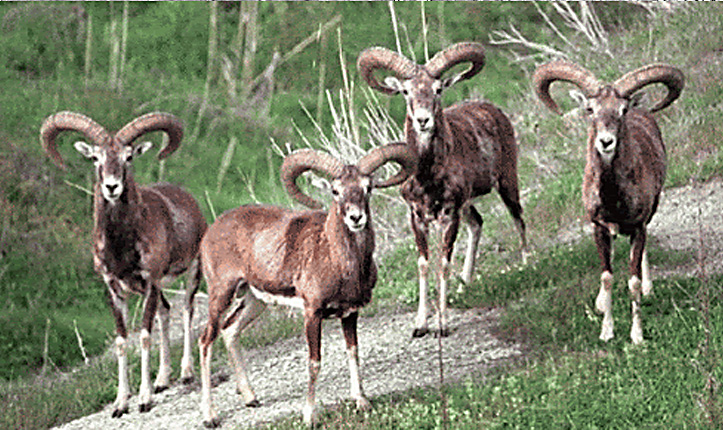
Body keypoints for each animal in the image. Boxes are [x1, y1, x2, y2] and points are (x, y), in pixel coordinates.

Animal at [40, 111, 207, 416]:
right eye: (96, 158)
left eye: (128, 157)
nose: (111, 187)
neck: (122, 248)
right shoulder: (115, 289)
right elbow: (121, 341)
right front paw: (120, 404)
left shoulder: (150, 282)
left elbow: (144, 336)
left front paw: (144, 400)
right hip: (159, 290)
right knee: (166, 312)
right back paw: (163, 380)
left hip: (191, 273)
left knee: (188, 311)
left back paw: (186, 374)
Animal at [197, 143, 416, 428]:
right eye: (335, 191)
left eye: (367, 187)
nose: (356, 218)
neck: (340, 262)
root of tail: (210, 232)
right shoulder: (312, 313)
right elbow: (314, 362)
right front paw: (310, 416)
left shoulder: (350, 313)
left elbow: (353, 352)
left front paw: (362, 402)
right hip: (221, 294)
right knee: (205, 340)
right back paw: (210, 417)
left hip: (255, 301)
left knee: (230, 330)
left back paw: (251, 398)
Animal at [357, 42, 527, 337]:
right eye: (406, 91)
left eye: (437, 89)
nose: (423, 120)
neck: (427, 176)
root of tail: (494, 111)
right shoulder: (417, 217)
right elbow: (424, 265)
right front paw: (420, 325)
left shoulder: (449, 215)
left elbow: (444, 263)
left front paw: (443, 325)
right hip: (469, 204)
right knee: (477, 224)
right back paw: (464, 285)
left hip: (507, 182)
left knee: (518, 218)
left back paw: (529, 263)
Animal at [532, 60, 684, 344]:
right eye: (590, 109)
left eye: (622, 110)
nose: (606, 142)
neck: (613, 198)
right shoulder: (599, 228)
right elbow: (607, 277)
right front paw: (607, 331)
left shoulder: (638, 228)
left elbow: (633, 281)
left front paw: (637, 336)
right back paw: (601, 303)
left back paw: (649, 290)